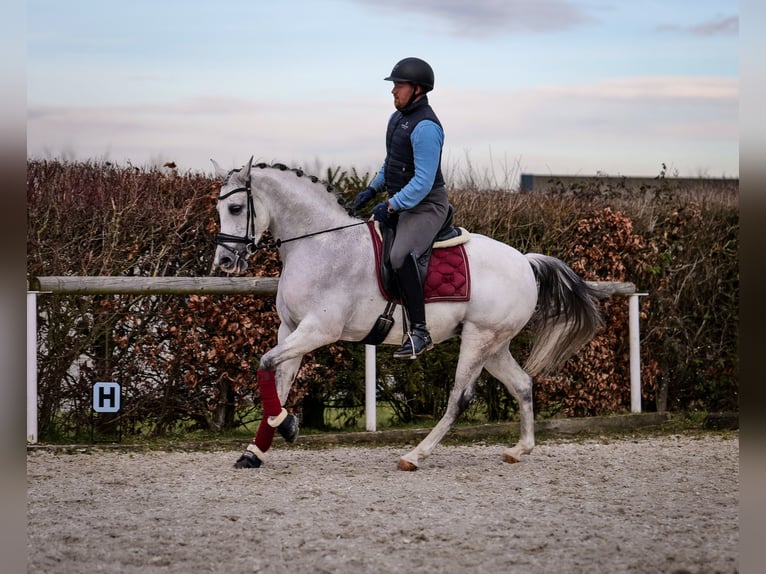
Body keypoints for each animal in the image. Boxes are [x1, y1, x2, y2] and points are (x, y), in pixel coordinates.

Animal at [212, 158, 608, 472]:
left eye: (236, 209)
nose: (225, 261)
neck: (321, 243)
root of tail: (525, 262)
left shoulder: (317, 330)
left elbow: (265, 364)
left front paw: (286, 424)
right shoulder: (290, 329)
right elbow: (276, 379)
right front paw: (256, 450)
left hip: (479, 339)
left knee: (460, 398)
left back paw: (415, 455)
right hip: (494, 344)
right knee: (523, 384)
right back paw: (519, 449)